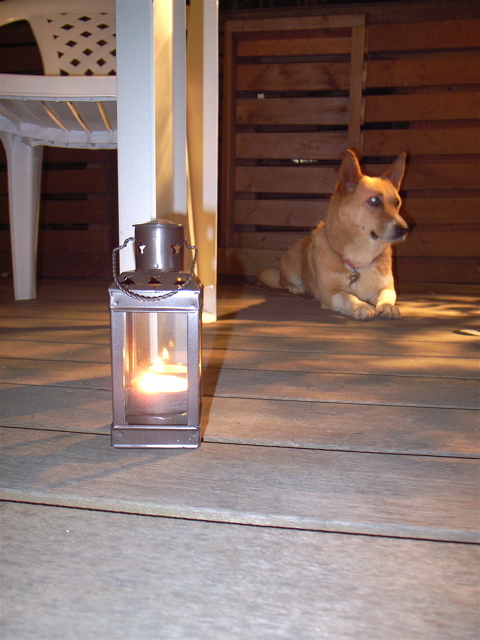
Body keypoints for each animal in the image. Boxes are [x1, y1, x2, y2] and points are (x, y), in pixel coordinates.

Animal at [258, 150, 408, 321]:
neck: (358, 261)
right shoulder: (330, 293)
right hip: (291, 266)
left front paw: (388, 307)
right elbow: (348, 297)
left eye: (396, 202)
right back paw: (296, 288)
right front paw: (361, 306)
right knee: (283, 282)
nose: (404, 229)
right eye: (374, 200)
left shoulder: (387, 287)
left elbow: (387, 295)